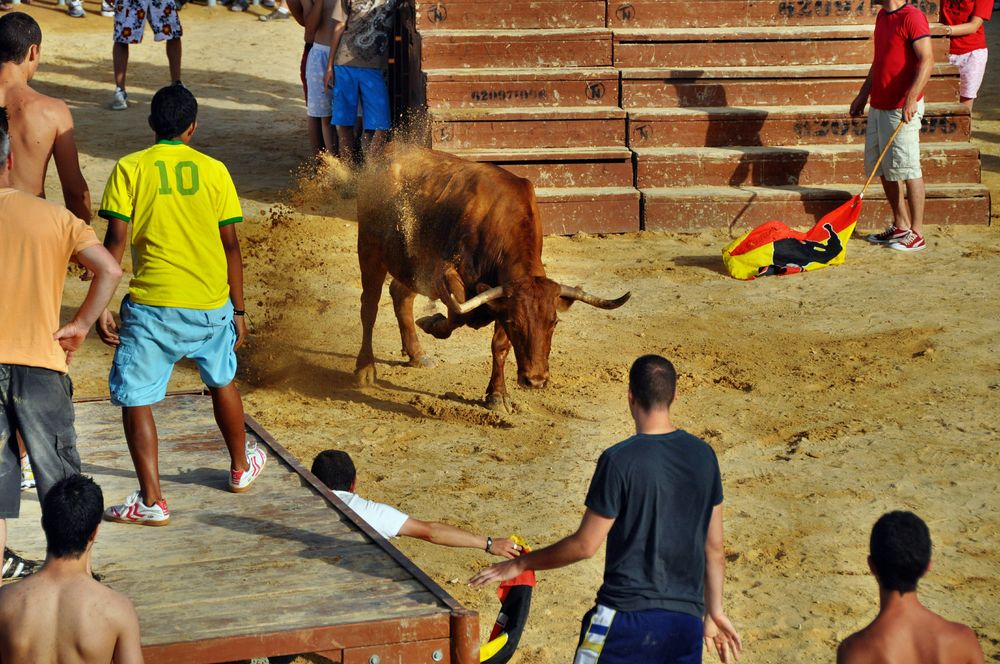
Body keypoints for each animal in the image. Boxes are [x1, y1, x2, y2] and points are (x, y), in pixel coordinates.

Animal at [356, 145, 628, 410]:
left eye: (554, 323)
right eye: (516, 325)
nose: (536, 380)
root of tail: (385, 156)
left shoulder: (502, 294)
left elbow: (499, 345)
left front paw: (497, 394)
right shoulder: (450, 275)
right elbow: (459, 312)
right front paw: (432, 322)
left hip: (410, 263)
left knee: (401, 295)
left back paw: (416, 354)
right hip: (370, 250)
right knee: (369, 308)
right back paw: (365, 369)